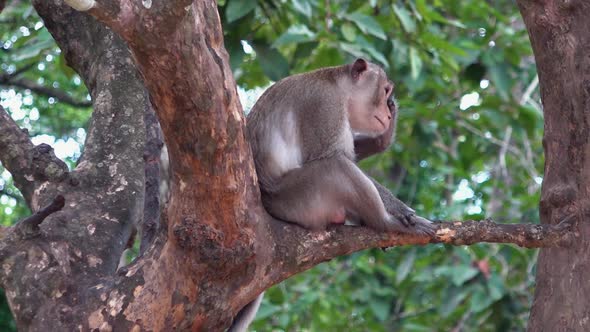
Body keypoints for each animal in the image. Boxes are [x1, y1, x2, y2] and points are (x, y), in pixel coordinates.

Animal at [247, 58, 438, 235]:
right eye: (385, 90)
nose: (388, 114)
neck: (339, 87)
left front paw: (383, 138)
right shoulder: (324, 103)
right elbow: (335, 155)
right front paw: (399, 208)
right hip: (295, 202)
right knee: (335, 166)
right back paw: (386, 222)